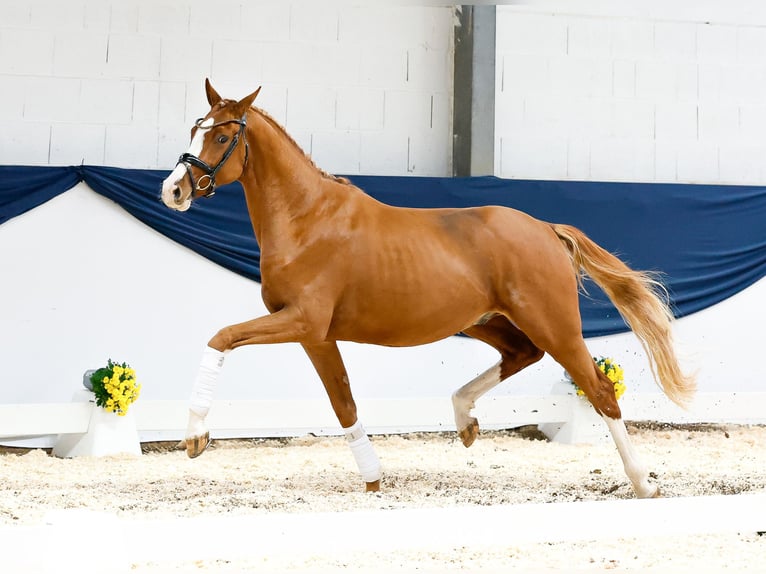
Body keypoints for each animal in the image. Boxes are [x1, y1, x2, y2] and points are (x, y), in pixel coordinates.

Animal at [160, 80, 696, 500]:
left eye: (223, 135)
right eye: (194, 129)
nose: (174, 191)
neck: (307, 220)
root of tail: (546, 229)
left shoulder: (302, 321)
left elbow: (221, 337)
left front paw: (196, 437)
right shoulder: (317, 336)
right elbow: (344, 404)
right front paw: (374, 480)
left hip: (554, 323)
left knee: (599, 388)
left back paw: (643, 482)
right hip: (487, 322)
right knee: (521, 355)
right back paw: (465, 421)